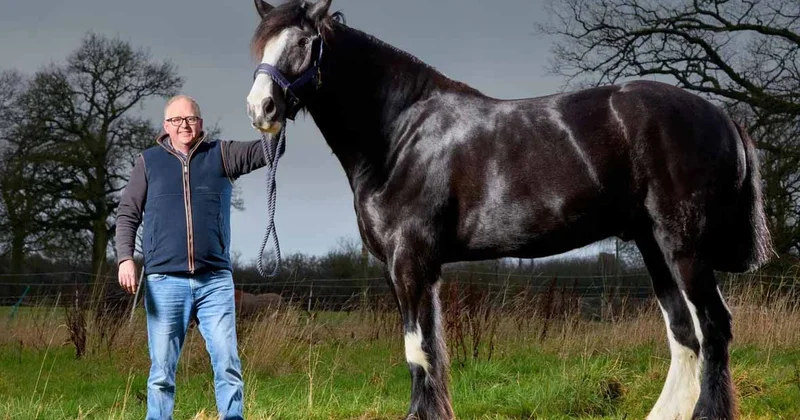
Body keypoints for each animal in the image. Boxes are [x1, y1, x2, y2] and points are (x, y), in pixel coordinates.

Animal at [244, 1, 773, 419]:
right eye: (261, 46)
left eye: (303, 42)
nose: (260, 108)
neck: (399, 135)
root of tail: (721, 115)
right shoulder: (410, 269)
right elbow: (430, 350)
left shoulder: (410, 262)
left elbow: (419, 352)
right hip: (653, 246)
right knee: (685, 336)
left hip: (684, 247)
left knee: (714, 329)